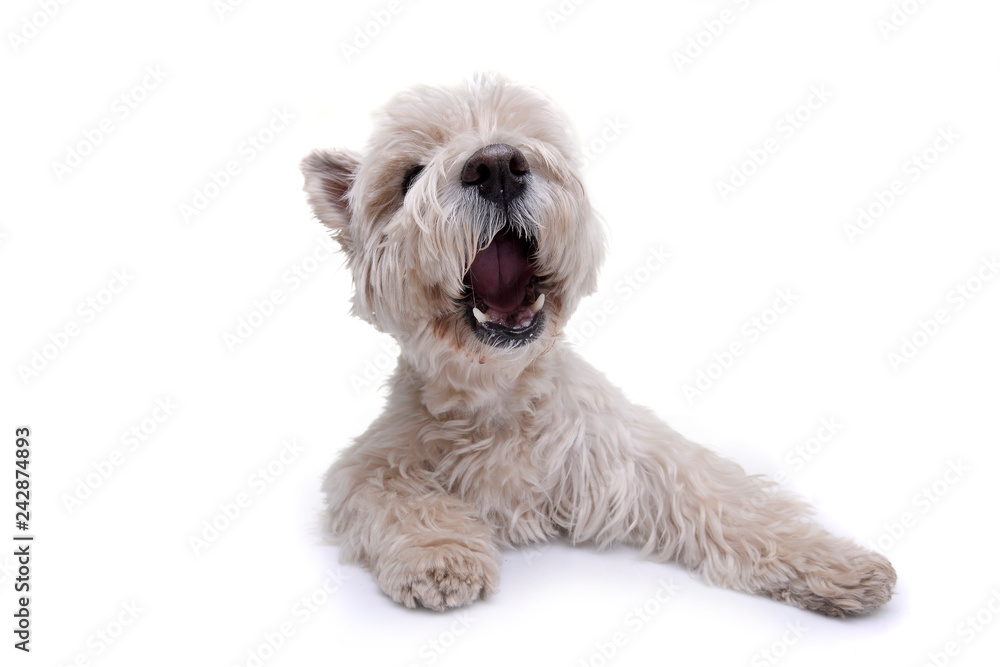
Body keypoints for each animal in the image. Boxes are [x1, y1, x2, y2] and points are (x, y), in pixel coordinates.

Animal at [300, 73, 896, 616]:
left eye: (522, 138)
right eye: (410, 176)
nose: (497, 165)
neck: (498, 396)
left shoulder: (632, 449)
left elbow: (726, 497)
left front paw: (837, 563)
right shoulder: (370, 463)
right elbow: (400, 498)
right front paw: (439, 554)